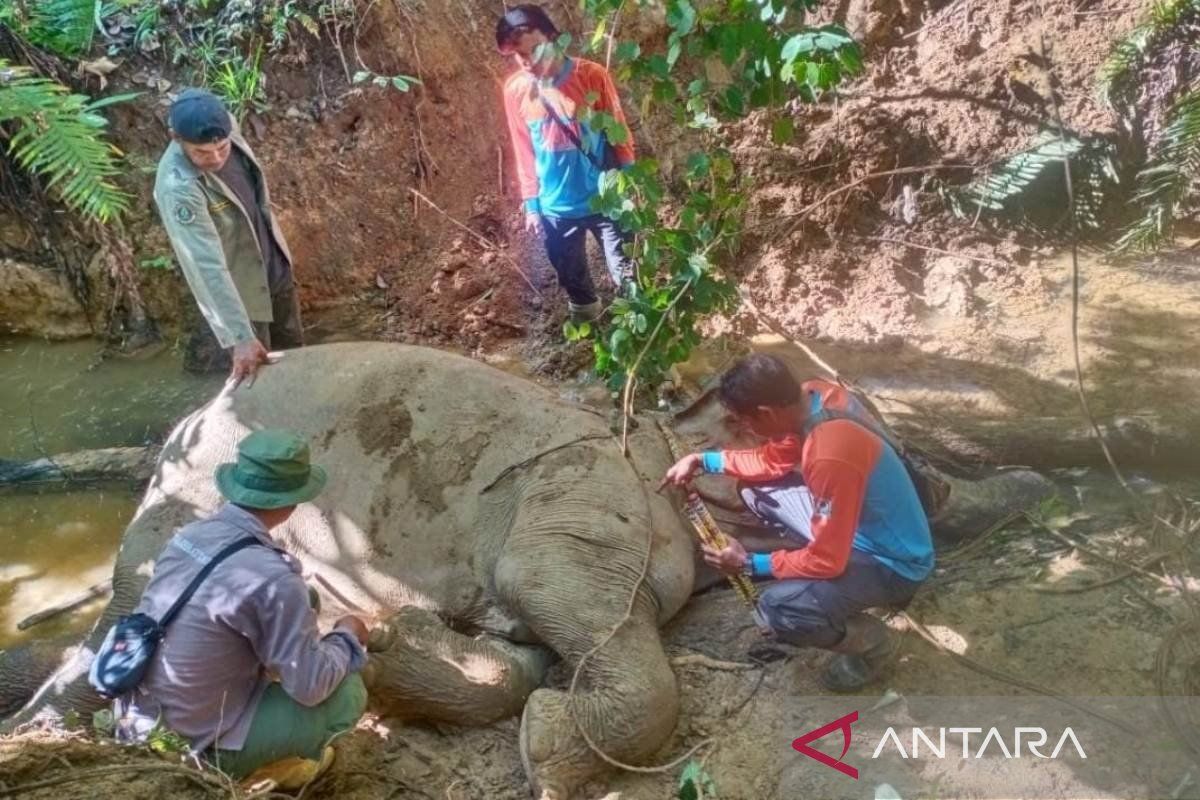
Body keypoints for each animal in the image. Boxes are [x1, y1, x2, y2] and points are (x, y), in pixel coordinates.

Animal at [2, 340, 1051, 796]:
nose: (1027, 488)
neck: (657, 429)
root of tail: (185, 420)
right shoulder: (583, 495)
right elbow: (555, 602)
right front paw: (548, 754)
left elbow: (529, 649)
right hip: (185, 493)